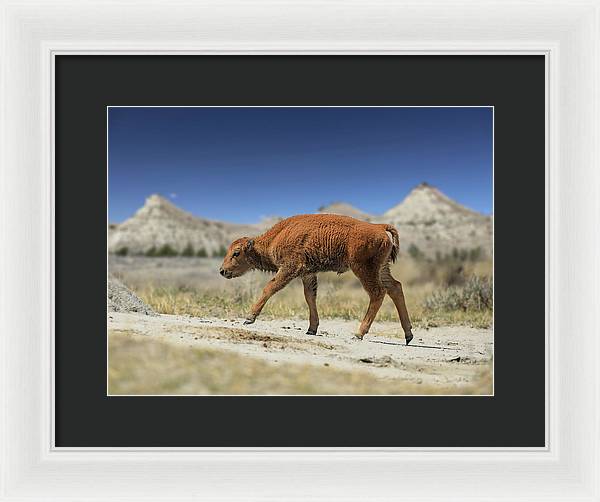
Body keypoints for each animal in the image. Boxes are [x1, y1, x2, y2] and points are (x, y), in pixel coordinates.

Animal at [219, 212, 412, 346]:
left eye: (236, 253)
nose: (222, 270)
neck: (276, 237)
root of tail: (379, 227)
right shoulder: (308, 274)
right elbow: (310, 297)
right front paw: (311, 329)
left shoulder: (289, 269)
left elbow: (270, 287)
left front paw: (249, 318)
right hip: (382, 269)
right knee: (395, 288)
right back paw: (408, 335)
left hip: (364, 270)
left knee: (378, 293)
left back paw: (359, 333)